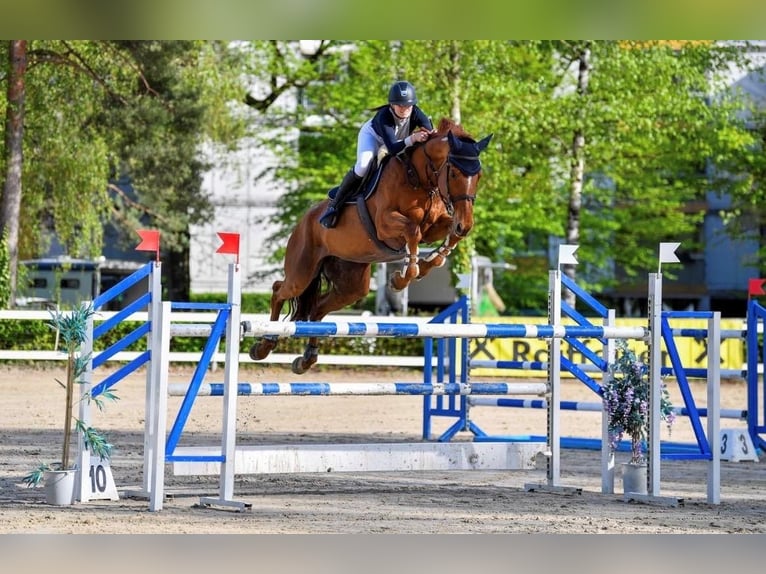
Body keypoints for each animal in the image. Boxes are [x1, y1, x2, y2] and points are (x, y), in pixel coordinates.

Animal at [249, 119, 496, 376]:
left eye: (478, 175)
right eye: (455, 173)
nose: (465, 225)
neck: (418, 178)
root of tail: (305, 220)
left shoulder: (435, 226)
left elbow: (446, 237)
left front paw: (427, 265)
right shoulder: (385, 225)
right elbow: (413, 232)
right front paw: (401, 279)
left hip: (352, 284)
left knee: (317, 307)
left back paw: (306, 359)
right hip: (302, 271)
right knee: (279, 289)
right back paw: (263, 346)